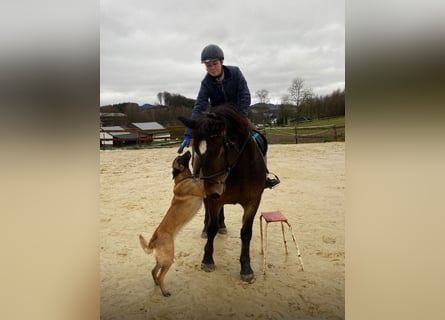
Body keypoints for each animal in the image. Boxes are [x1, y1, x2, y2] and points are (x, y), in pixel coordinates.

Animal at [139, 151, 205, 298]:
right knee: (160, 276)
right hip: (169, 260)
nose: (187, 151)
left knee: (153, 271)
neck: (182, 180)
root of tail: (154, 239)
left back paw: (157, 285)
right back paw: (164, 291)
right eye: (179, 159)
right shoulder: (203, 189)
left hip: (162, 260)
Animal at [178, 103, 268, 282]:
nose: (211, 190)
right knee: (209, 217)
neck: (237, 172)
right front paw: (207, 260)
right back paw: (206, 229)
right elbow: (212, 228)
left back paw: (222, 225)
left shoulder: (253, 201)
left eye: (219, 151)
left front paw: (246, 268)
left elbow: (246, 233)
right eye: (196, 150)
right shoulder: (213, 200)